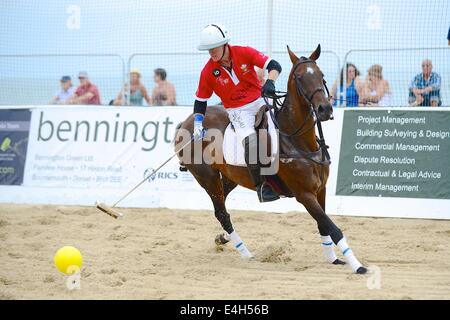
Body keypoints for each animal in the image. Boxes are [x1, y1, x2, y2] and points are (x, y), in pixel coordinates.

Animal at [174, 45, 368, 274]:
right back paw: (245, 252)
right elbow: (332, 227)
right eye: (300, 77)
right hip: (207, 178)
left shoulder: (321, 189)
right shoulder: (304, 194)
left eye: (321, 75)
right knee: (222, 213)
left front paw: (333, 258)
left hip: (230, 177)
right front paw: (357, 265)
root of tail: (187, 123)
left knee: (221, 208)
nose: (325, 109)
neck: (297, 140)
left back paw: (223, 239)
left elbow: (323, 225)